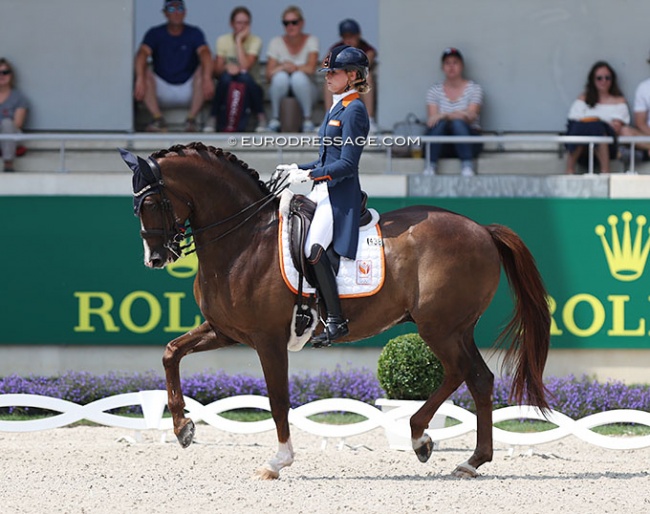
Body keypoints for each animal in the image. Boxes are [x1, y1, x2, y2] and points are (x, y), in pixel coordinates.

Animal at [120, 142, 548, 478]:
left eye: (150, 202)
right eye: (136, 206)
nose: (155, 258)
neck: (245, 238)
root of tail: (482, 229)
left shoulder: (268, 339)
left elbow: (277, 399)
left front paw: (278, 461)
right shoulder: (225, 330)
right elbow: (171, 352)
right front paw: (182, 428)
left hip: (439, 327)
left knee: (459, 372)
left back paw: (420, 436)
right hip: (458, 328)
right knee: (480, 379)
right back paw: (472, 461)